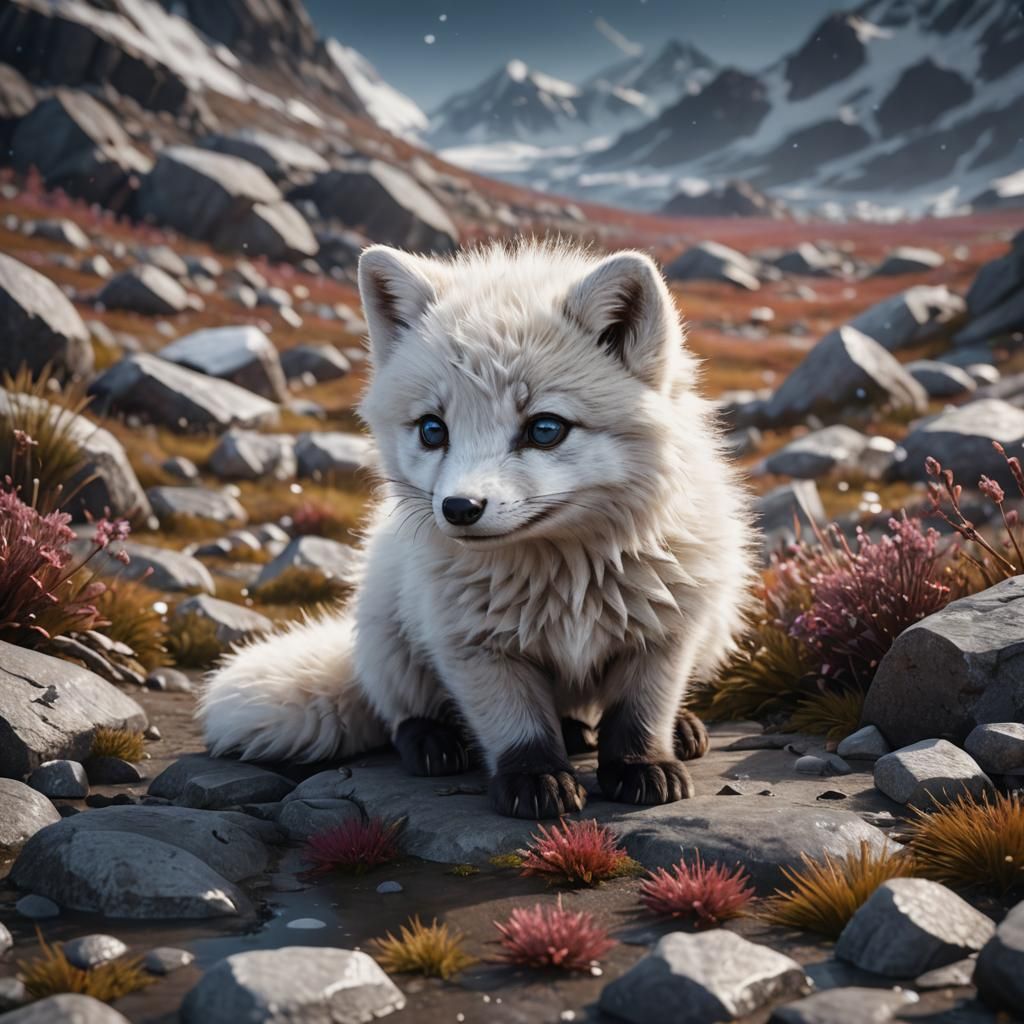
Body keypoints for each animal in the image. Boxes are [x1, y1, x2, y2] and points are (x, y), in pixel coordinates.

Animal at [200, 239, 757, 818]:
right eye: (432, 429)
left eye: (545, 428)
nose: (458, 508)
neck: (568, 583)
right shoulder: (472, 644)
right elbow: (517, 727)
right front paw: (537, 780)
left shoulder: (666, 635)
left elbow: (640, 716)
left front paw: (642, 766)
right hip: (390, 637)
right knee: (401, 711)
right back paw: (436, 741)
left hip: (717, 626)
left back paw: (671, 728)